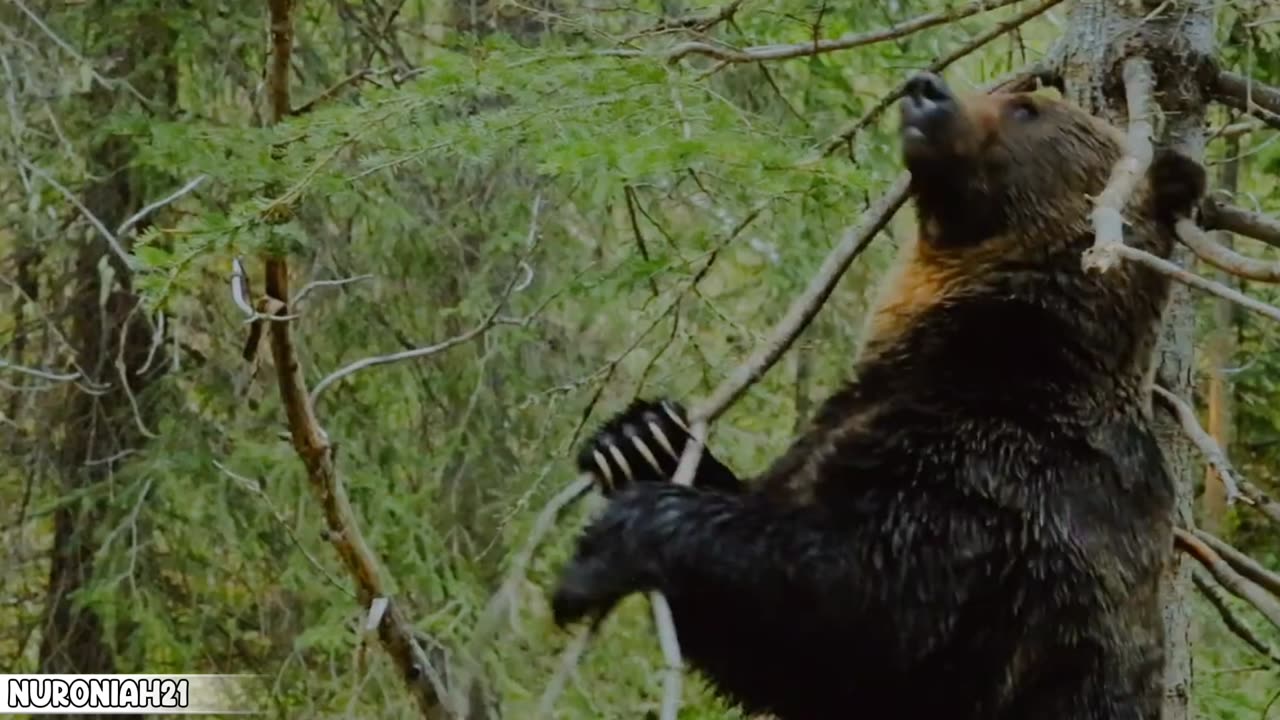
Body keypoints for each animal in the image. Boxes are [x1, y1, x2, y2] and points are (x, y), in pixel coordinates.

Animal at [555, 71, 1203, 717]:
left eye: (1026, 109)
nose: (926, 87)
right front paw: (640, 439)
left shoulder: (1003, 481)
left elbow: (857, 605)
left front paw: (606, 547)